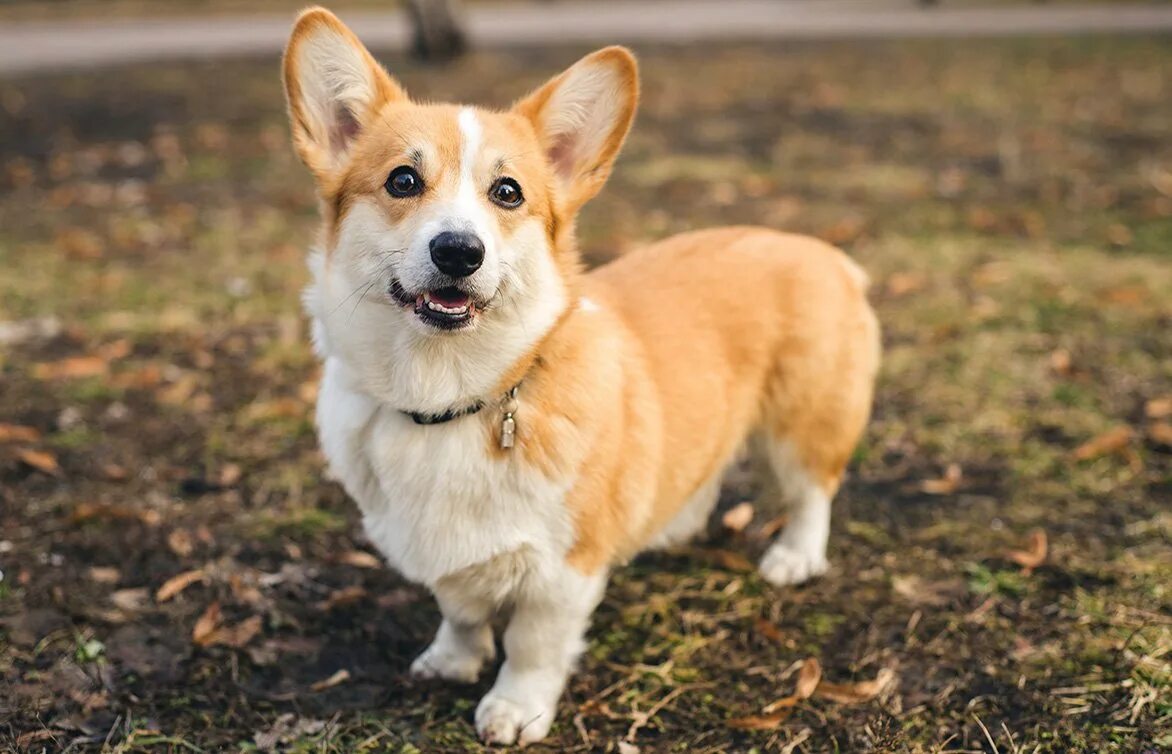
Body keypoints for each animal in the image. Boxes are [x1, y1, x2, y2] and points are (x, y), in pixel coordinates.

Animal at [283, 7, 881, 750]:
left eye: (507, 193)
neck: (449, 396)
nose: (459, 251)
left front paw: (515, 708)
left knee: (811, 493)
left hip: (801, 426)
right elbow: (460, 609)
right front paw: (452, 660)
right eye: (401, 181)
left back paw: (795, 557)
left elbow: (533, 645)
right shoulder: (443, 555)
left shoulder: (561, 573)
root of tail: (825, 252)